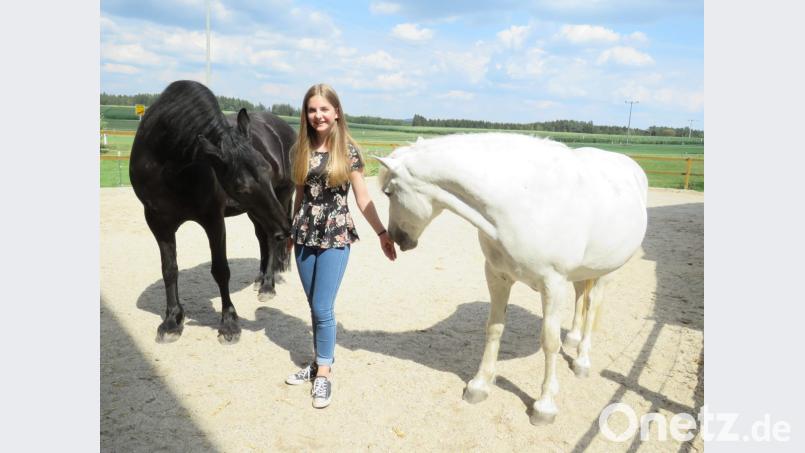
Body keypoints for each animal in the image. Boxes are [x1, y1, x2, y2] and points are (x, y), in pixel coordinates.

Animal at [129, 80, 296, 345]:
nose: (286, 229)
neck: (167, 161)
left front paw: (229, 323)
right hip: (256, 211)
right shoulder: (158, 221)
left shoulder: (213, 219)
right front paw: (172, 321)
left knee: (271, 239)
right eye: (240, 186)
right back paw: (260, 279)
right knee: (264, 238)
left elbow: (220, 269)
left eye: (267, 169)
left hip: (280, 198)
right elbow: (169, 269)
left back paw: (268, 286)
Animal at [376, 132, 648, 425]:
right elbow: (494, 328)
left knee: (592, 307)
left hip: (605, 272)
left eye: (388, 192)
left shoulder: (553, 284)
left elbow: (549, 341)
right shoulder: (497, 276)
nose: (397, 238)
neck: (523, 200)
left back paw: (582, 361)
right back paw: (573, 339)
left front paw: (545, 406)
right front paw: (479, 385)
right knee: (580, 296)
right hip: (582, 271)